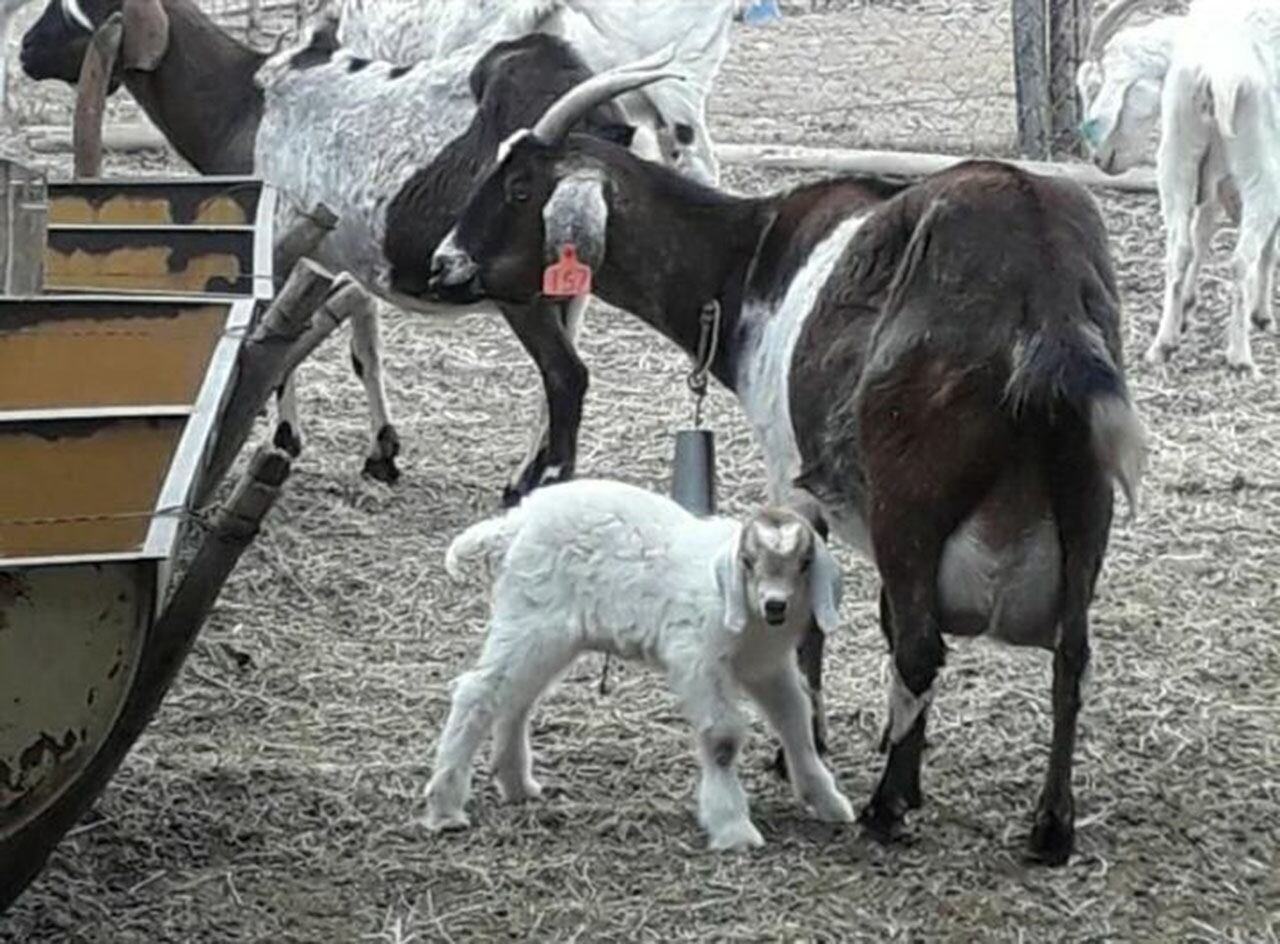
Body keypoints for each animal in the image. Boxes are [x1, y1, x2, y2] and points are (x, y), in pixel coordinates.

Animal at [20, 0, 737, 496]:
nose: (26, 50)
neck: (246, 103)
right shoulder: (343, 250)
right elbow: (361, 338)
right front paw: (382, 451)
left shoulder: (284, 244)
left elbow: (281, 349)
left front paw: (287, 437)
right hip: (570, 279)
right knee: (561, 374)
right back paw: (528, 472)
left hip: (520, 282)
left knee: (567, 375)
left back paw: (532, 489)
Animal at [424, 473, 855, 849]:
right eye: (748, 561)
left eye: (804, 563)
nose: (775, 605)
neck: (747, 615)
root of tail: (511, 526)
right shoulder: (698, 658)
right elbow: (722, 738)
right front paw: (733, 828)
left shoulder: (766, 666)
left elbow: (796, 720)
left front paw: (827, 800)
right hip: (532, 621)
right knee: (478, 692)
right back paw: (445, 805)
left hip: (544, 634)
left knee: (515, 699)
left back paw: (516, 784)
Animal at [1080, 0, 1280, 373]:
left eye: (1093, 87)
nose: (1099, 159)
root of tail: (1214, 71)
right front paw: (1262, 314)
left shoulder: (1212, 175)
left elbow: (1202, 230)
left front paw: (1189, 304)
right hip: (1262, 167)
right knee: (1240, 257)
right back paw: (1240, 356)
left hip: (1176, 156)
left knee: (1179, 248)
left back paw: (1164, 342)